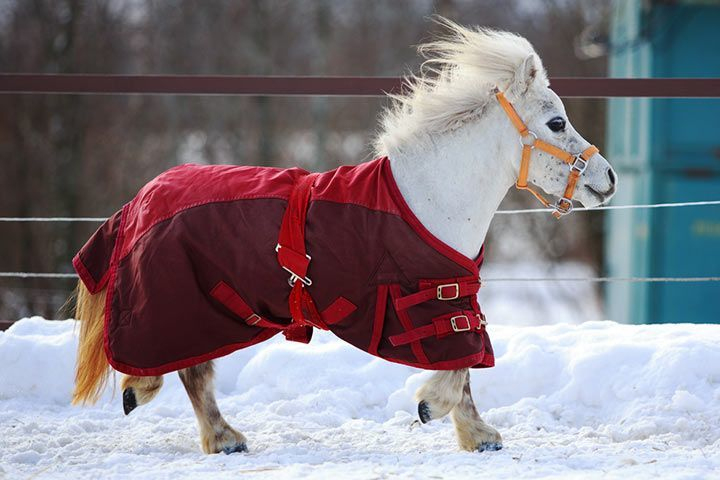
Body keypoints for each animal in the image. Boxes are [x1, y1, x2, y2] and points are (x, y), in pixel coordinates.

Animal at [70, 18, 617, 455]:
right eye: (556, 122)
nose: (608, 178)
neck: (427, 197)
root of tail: (142, 199)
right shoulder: (426, 303)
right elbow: (457, 367)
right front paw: (432, 409)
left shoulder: (453, 298)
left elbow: (466, 365)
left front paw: (477, 435)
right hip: (181, 307)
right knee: (188, 370)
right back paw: (192, 420)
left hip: (208, 311)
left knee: (193, 369)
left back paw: (212, 432)